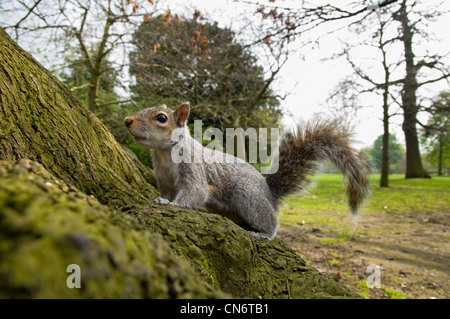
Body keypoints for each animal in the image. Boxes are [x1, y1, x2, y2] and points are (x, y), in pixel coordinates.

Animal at [124, 103, 370, 240]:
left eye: (161, 118)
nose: (127, 120)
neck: (164, 154)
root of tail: (270, 194)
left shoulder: (193, 168)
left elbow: (195, 191)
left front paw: (170, 204)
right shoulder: (164, 178)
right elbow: (165, 191)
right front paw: (160, 199)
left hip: (248, 195)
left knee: (269, 220)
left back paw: (264, 233)